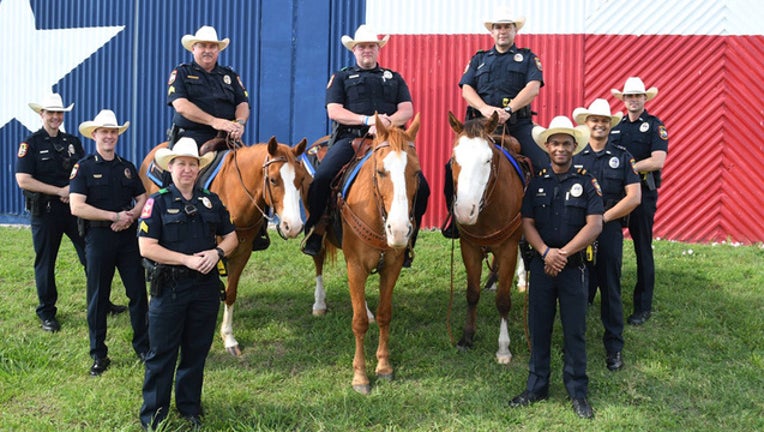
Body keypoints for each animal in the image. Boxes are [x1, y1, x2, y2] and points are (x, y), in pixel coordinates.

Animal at [140, 138, 310, 354]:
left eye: (301, 179)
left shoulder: (241, 252)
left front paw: (228, 338)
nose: (293, 227)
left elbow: (230, 293)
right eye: (273, 180)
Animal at [308, 115, 420, 394]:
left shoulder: (391, 267)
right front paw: (360, 376)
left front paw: (384, 366)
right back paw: (319, 304)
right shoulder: (356, 266)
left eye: (416, 172)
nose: (399, 230)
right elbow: (358, 322)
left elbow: (384, 314)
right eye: (380, 171)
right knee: (318, 262)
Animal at [448, 112, 524, 364]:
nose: (464, 211)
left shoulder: (509, 247)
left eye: (488, 161)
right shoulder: (469, 247)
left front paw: (503, 348)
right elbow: (472, 294)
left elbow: (503, 300)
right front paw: (467, 337)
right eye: (453, 159)